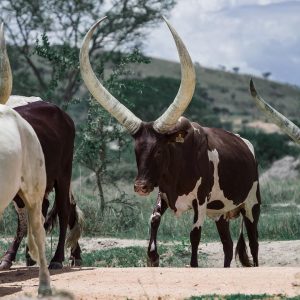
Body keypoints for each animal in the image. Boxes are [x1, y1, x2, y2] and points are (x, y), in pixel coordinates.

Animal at [79, 17, 260, 268]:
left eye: (158, 150)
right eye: (136, 149)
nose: (140, 186)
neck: (180, 164)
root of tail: (247, 145)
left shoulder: (200, 202)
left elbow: (194, 235)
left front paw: (191, 264)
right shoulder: (163, 193)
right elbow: (154, 219)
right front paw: (153, 257)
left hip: (251, 204)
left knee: (254, 243)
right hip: (221, 213)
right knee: (227, 245)